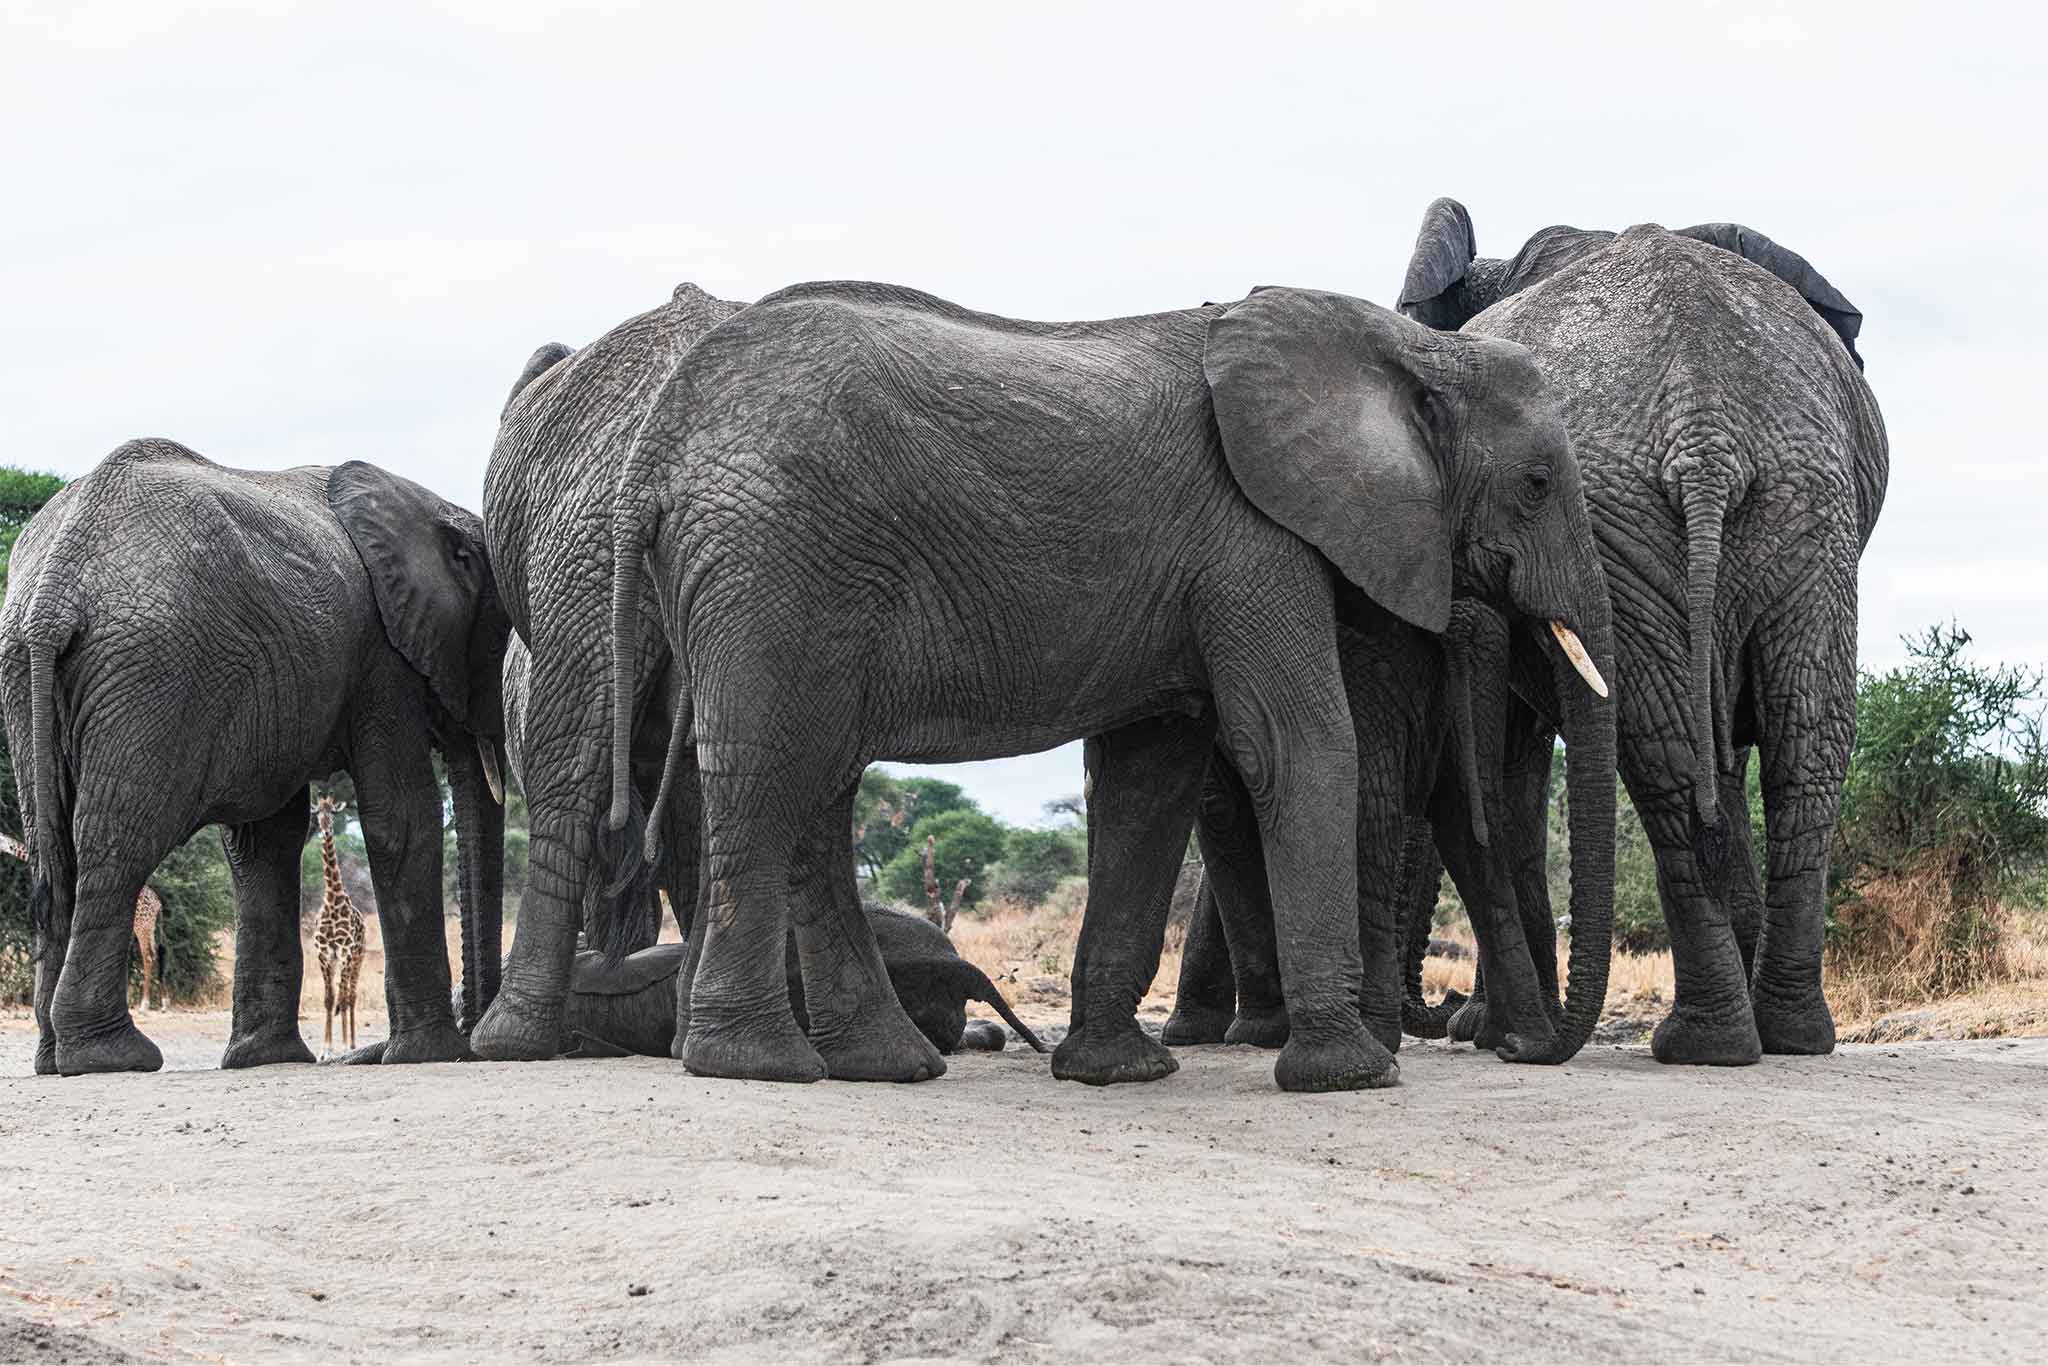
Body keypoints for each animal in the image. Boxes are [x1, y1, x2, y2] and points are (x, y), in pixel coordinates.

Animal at [0, 441, 508, 1074]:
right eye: (500, 633)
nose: (473, 1035)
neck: (429, 506)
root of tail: (53, 591)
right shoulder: (381, 659)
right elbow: (402, 820)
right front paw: (428, 1055)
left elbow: (265, 841)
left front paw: (265, 1057)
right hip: (151, 679)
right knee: (115, 848)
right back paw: (113, 1055)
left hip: (27, 674)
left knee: (54, 850)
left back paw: (54, 1058)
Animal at [1396, 203, 1887, 1063]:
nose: (1441, 1004)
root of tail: (1703, 424)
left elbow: (1517, 758)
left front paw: (1490, 1030)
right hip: (1794, 508)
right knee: (1798, 739)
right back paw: (1782, 1035)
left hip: (1688, 508)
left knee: (1673, 749)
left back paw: (1699, 1041)